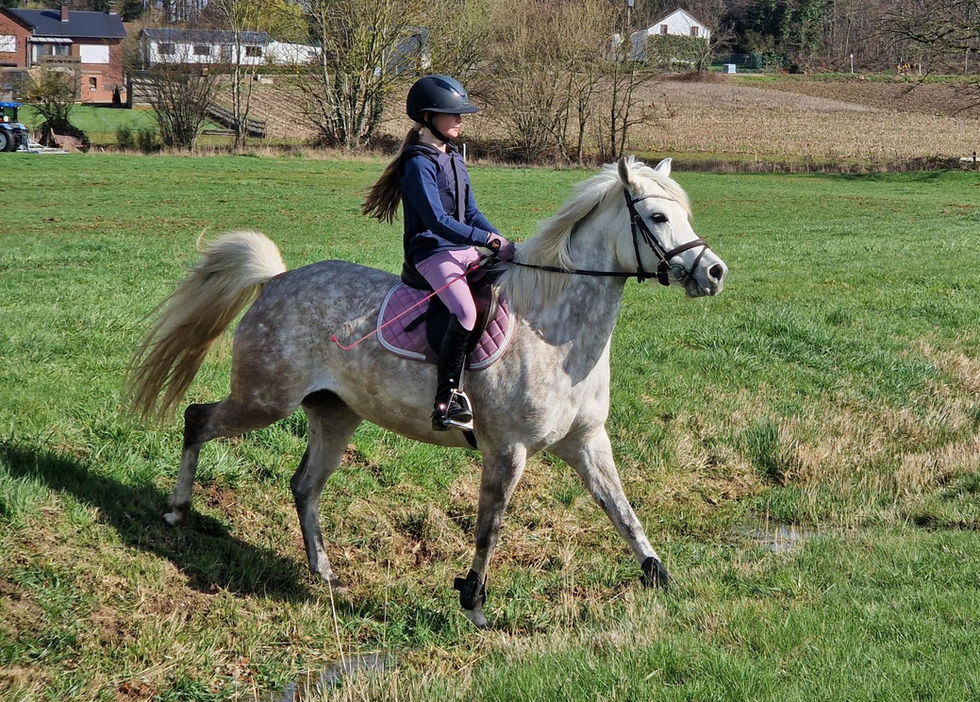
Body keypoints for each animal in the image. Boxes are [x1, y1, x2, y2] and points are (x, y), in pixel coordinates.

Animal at [126, 156, 727, 628]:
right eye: (657, 217)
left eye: (686, 215)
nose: (715, 273)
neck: (552, 330)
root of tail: (275, 281)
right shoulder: (506, 450)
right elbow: (489, 529)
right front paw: (475, 604)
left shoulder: (586, 441)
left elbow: (622, 512)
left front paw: (661, 578)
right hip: (263, 400)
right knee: (197, 419)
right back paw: (178, 512)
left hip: (335, 415)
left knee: (304, 486)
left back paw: (323, 571)